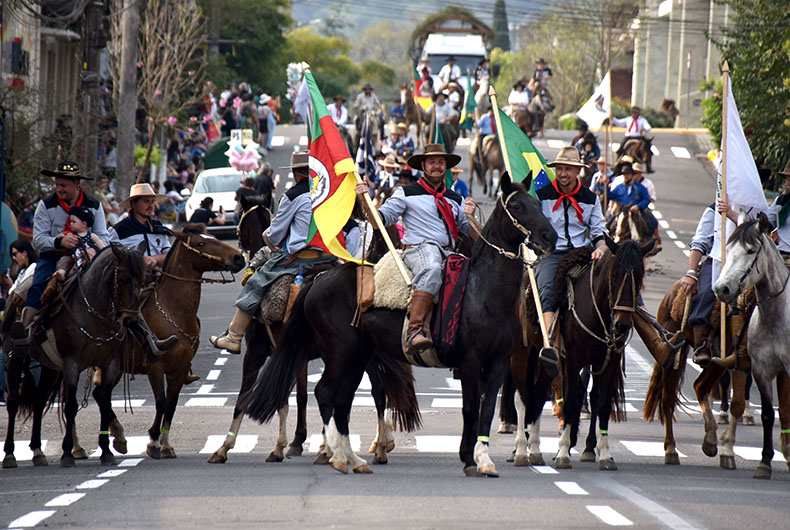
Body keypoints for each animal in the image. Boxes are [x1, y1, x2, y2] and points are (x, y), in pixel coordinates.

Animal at [3, 244, 146, 468]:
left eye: (144, 278)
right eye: (122, 278)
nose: (130, 320)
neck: (95, 314)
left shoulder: (110, 364)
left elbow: (105, 403)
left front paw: (106, 451)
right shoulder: (72, 364)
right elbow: (70, 407)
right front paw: (67, 453)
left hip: (50, 368)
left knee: (39, 400)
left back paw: (37, 451)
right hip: (15, 358)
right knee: (13, 402)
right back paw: (9, 453)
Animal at [243, 173, 558, 476]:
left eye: (537, 203)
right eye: (518, 206)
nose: (550, 236)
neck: (483, 291)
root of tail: (320, 280)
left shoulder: (498, 363)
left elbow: (488, 410)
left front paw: (484, 460)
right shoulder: (470, 362)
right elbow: (470, 409)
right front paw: (469, 459)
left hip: (357, 355)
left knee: (341, 400)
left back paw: (353, 458)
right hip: (340, 353)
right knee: (325, 394)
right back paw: (338, 457)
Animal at [553, 237, 654, 470]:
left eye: (639, 275)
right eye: (614, 275)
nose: (622, 325)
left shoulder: (609, 362)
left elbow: (603, 404)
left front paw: (605, 454)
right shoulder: (572, 359)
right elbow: (570, 401)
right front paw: (563, 452)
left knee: (591, 395)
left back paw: (589, 448)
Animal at [713, 214, 790, 478]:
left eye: (750, 251)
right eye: (727, 249)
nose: (721, 288)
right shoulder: (761, 370)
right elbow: (767, 414)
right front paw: (765, 462)